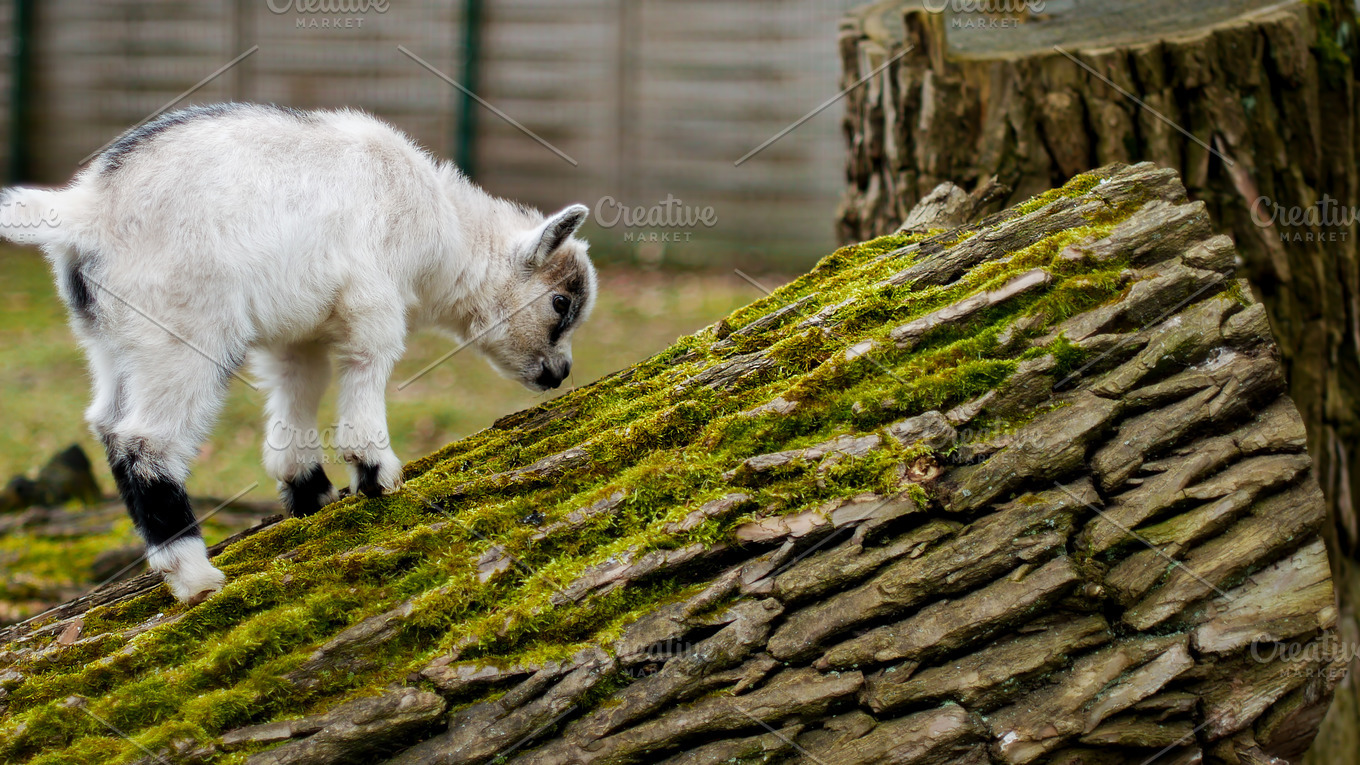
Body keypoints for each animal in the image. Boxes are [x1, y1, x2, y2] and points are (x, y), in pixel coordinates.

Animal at [0, 102, 595, 601]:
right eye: (561, 303)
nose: (560, 373)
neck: (442, 230)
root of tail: (85, 211)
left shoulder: (298, 331)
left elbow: (298, 386)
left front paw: (309, 492)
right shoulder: (372, 300)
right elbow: (368, 365)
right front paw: (375, 474)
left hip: (110, 339)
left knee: (105, 422)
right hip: (181, 331)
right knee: (144, 439)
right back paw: (192, 575)